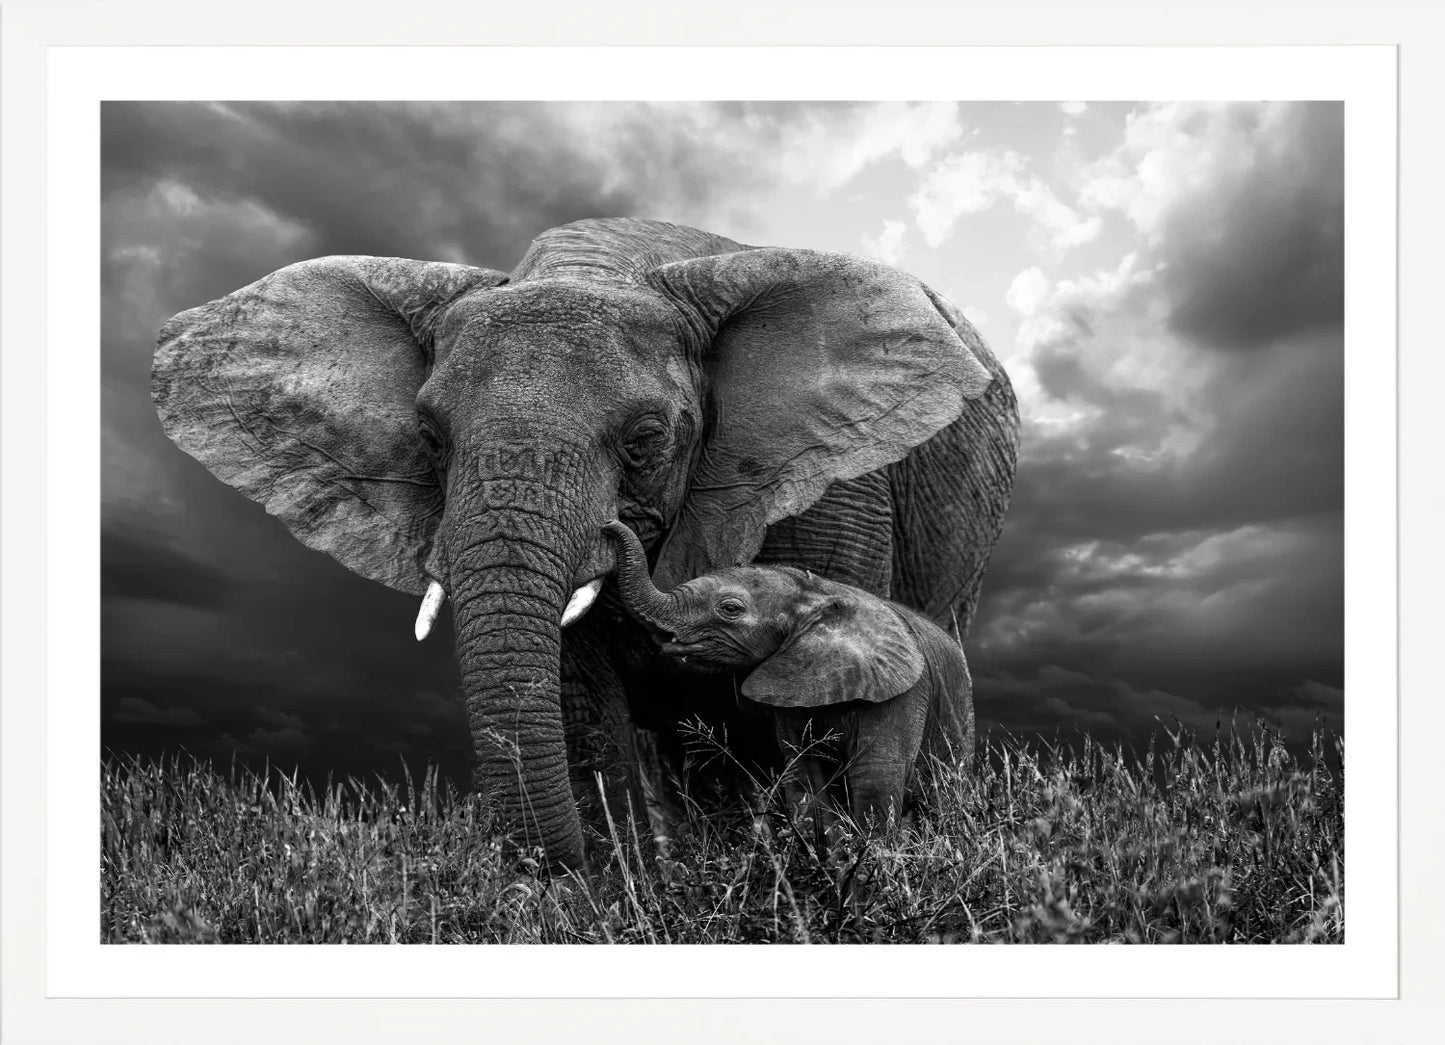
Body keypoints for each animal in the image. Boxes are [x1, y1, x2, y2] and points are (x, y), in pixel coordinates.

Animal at [603, 519, 974, 831]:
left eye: (730, 609)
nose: (608, 525)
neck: (814, 593)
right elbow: (804, 778)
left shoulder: (902, 694)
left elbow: (876, 778)